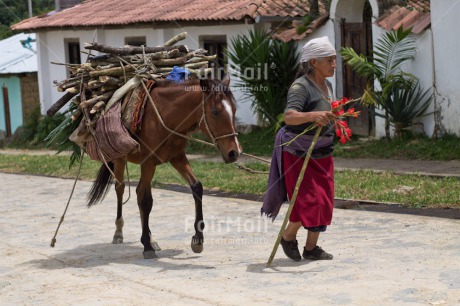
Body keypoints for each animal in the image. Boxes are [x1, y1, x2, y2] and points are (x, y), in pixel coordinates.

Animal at [87, 76, 243, 258]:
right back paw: (119, 233)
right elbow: (145, 200)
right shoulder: (148, 162)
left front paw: (197, 240)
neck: (163, 116)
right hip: (119, 159)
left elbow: (197, 187)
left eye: (234, 110)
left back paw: (151, 238)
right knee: (121, 188)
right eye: (215, 112)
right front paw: (147, 246)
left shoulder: (177, 157)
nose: (235, 152)